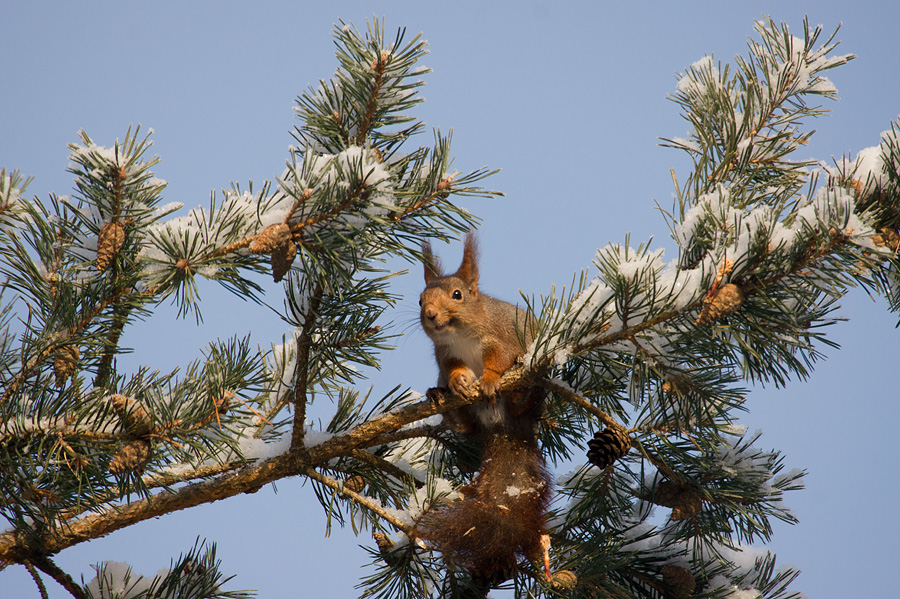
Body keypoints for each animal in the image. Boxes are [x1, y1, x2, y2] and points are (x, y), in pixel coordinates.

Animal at [412, 233, 552, 584]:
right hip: (468, 418)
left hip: (533, 393)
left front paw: (488, 380)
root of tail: (503, 428)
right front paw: (458, 382)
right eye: (420, 300)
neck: (460, 335)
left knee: (524, 403)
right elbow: (452, 370)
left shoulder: (500, 339)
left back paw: (520, 393)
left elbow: (498, 360)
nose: (430, 314)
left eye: (457, 295)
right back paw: (440, 398)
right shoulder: (445, 356)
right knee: (467, 427)